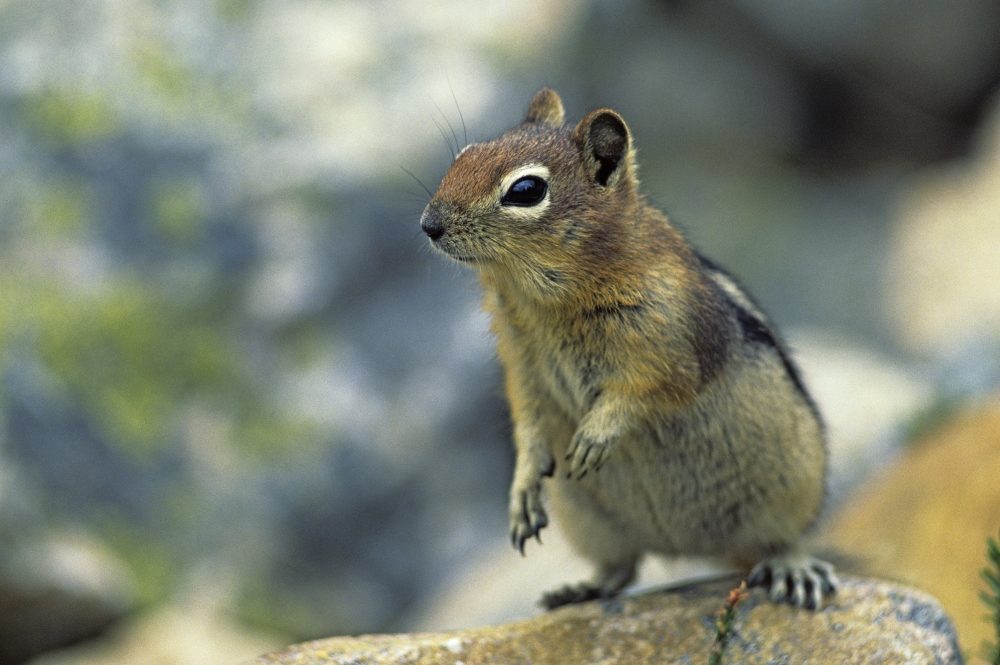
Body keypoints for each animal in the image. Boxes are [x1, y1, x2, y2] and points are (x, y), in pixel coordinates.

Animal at [419, 88, 838, 610]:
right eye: (464, 155)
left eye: (526, 190)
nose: (428, 224)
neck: (541, 301)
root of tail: (690, 550)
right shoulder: (521, 362)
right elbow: (528, 418)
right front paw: (523, 485)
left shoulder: (675, 341)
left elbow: (648, 390)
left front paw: (597, 434)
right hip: (590, 523)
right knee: (622, 567)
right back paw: (580, 588)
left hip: (792, 489)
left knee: (784, 539)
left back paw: (794, 567)